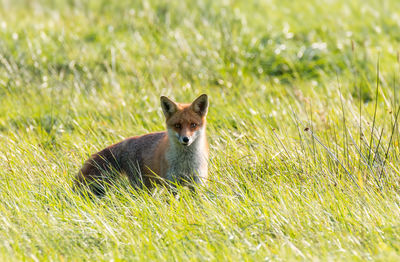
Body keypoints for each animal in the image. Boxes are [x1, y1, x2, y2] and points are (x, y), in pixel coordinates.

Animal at [74, 94, 209, 196]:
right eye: (177, 125)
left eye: (193, 125)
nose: (186, 139)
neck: (186, 163)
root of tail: (128, 140)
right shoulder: (172, 183)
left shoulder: (197, 181)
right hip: (141, 185)